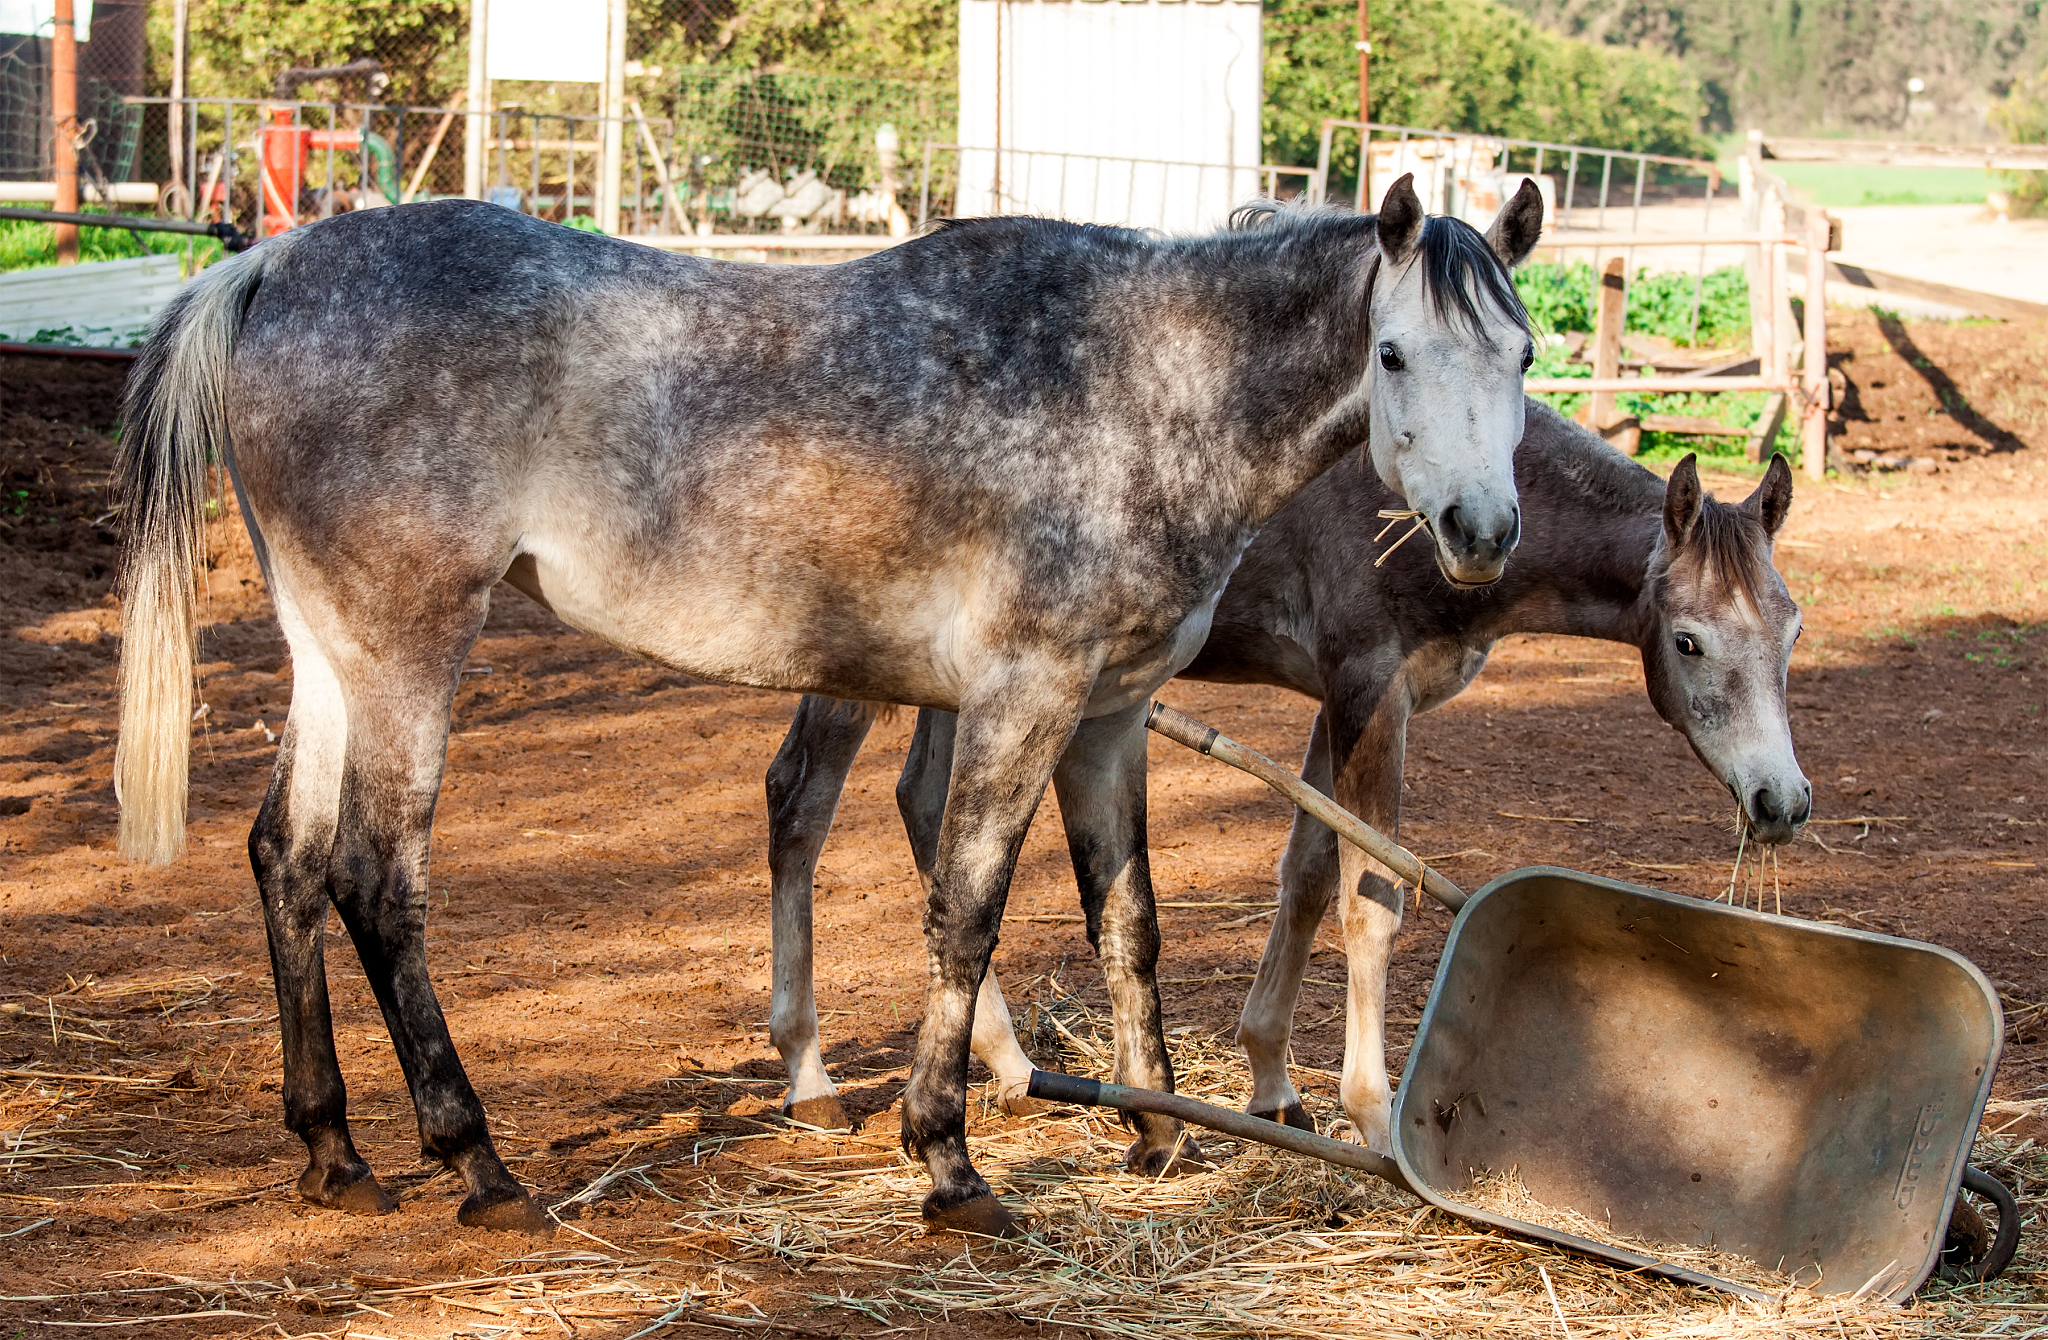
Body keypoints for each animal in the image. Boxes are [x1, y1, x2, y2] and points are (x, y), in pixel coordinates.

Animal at [112, 178, 1544, 1235]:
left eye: (1522, 354)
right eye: (1394, 352)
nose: (1481, 532)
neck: (1139, 382)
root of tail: (274, 267)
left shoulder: (1109, 717)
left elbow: (1125, 919)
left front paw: (1152, 1128)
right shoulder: (1023, 698)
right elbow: (966, 912)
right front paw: (949, 1163)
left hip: (328, 650)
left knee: (286, 859)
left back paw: (334, 1150)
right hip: (408, 649)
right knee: (373, 877)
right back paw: (477, 1165)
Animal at [762, 409, 1809, 1154]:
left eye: (1792, 628)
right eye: (1689, 641)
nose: (1783, 802)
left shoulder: (1336, 703)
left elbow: (1306, 876)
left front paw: (1273, 1084)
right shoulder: (1370, 688)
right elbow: (1370, 899)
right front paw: (1376, 1118)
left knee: (922, 803)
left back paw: (1008, 1062)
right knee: (801, 800)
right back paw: (811, 1079)